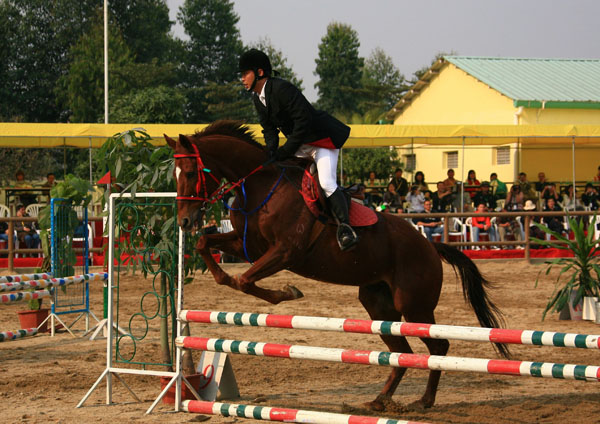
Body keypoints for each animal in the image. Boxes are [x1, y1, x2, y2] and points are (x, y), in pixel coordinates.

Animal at [166, 121, 508, 412]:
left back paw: (423, 401)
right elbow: (206, 247)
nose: (184, 221)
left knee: (439, 346)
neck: (260, 185)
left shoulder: (285, 251)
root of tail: (430, 245)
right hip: (379, 305)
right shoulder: (247, 245)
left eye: (191, 172)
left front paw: (289, 292)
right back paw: (379, 401)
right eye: (175, 174)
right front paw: (226, 274)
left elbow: (245, 281)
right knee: (404, 352)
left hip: (413, 306)